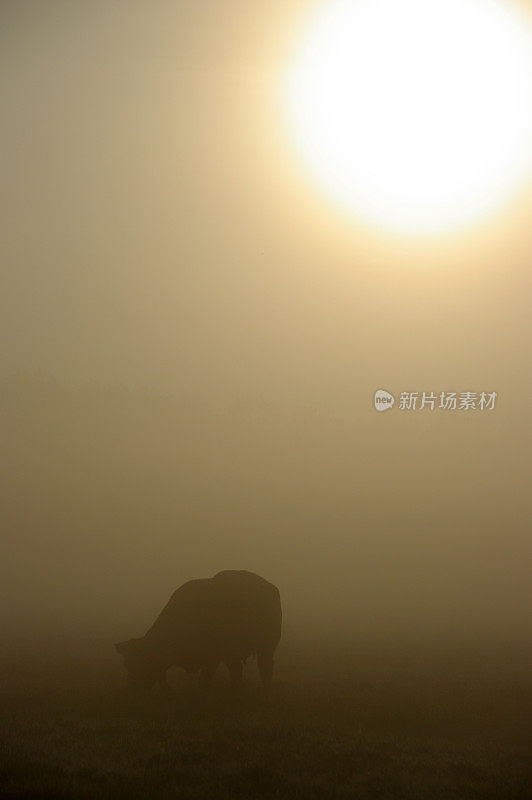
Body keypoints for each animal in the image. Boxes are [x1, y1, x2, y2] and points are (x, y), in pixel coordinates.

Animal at [116, 568, 282, 692]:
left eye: (135, 662)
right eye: (126, 664)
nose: (130, 689)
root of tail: (270, 589)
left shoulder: (217, 652)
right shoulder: (213, 655)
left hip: (257, 646)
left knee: (253, 668)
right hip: (265, 647)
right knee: (264, 667)